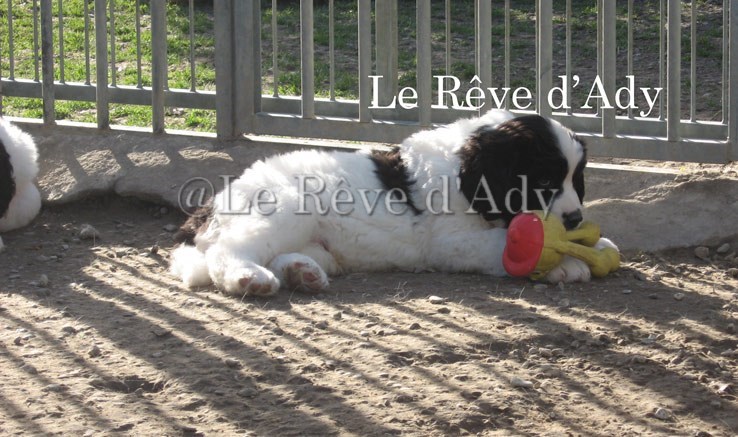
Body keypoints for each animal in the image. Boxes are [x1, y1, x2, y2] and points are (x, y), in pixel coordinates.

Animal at [171, 110, 617, 296]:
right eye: (542, 181)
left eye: (575, 180)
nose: (574, 218)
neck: (463, 170)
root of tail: (207, 210)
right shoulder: (450, 241)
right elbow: (508, 245)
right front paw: (565, 262)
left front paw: (595, 245)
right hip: (283, 207)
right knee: (228, 253)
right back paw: (249, 278)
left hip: (313, 239)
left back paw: (302, 273)